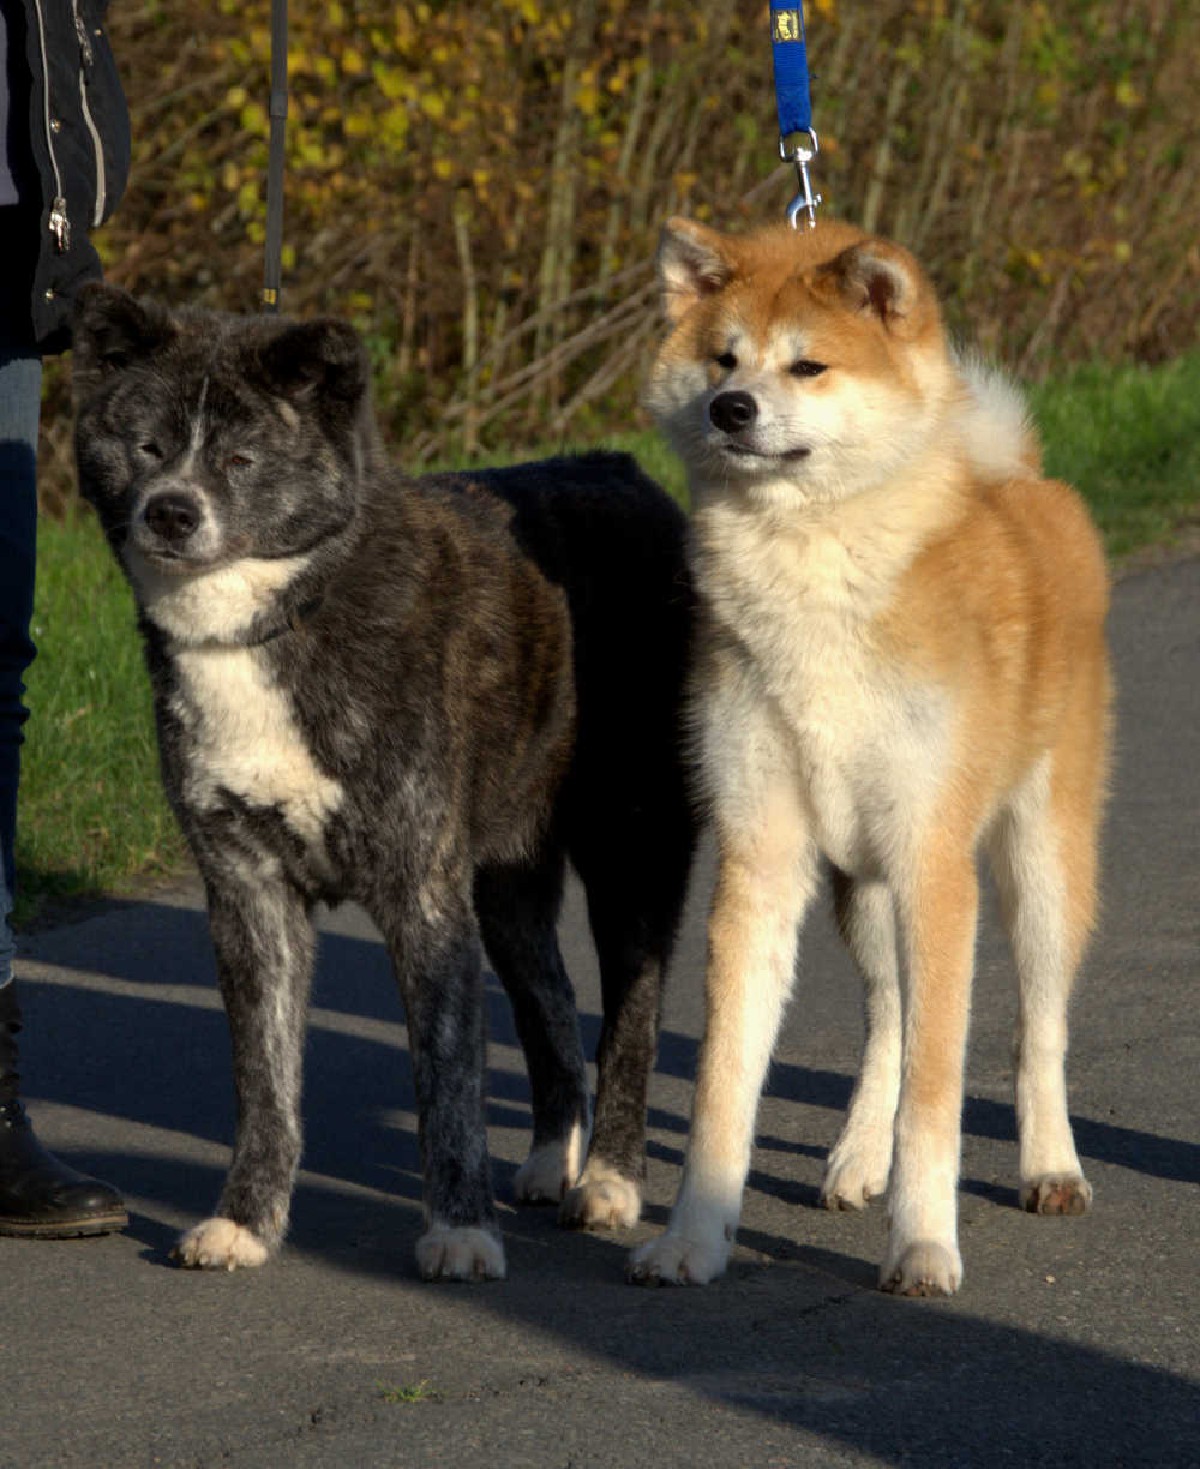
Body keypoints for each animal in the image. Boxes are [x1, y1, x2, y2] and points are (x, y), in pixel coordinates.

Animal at [71, 284, 696, 1280]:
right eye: (147, 446)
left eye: (241, 458)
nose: (171, 512)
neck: (289, 609)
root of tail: (625, 472)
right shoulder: (248, 894)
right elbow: (265, 1082)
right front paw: (246, 1220)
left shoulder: (421, 897)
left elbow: (447, 1079)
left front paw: (460, 1228)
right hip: (506, 881)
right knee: (551, 1001)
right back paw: (552, 1156)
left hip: (632, 847)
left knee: (629, 1013)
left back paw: (609, 1178)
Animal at [626, 218, 1111, 1296]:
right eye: (722, 358)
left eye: (807, 364)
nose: (730, 408)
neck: (811, 576)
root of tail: (1024, 480)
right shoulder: (762, 857)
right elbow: (726, 1085)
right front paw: (694, 1235)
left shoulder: (934, 860)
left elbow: (939, 1092)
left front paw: (924, 1243)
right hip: (863, 885)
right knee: (888, 1019)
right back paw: (856, 1155)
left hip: (1037, 863)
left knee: (1040, 1028)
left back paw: (1051, 1163)